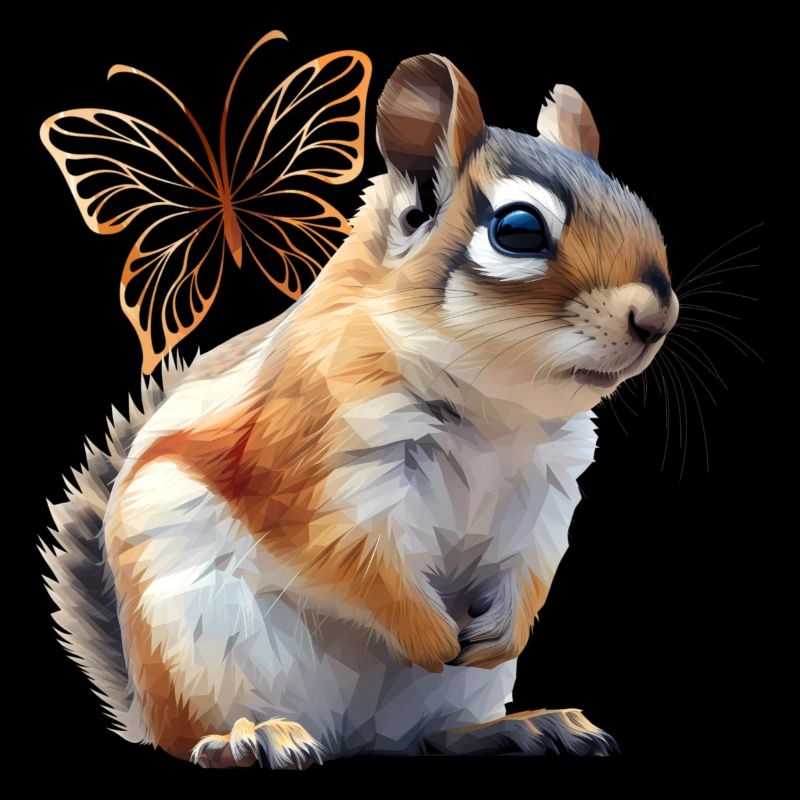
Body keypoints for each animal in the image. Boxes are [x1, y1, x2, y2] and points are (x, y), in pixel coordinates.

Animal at [42, 54, 678, 768]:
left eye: (639, 206)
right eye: (518, 230)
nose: (657, 317)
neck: (496, 411)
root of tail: (351, 737)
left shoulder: (546, 485)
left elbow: (534, 559)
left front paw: (505, 631)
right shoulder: (316, 458)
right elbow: (355, 560)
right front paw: (430, 634)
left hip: (450, 697)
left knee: (433, 736)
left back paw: (522, 726)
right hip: (204, 648)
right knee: (201, 736)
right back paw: (252, 737)